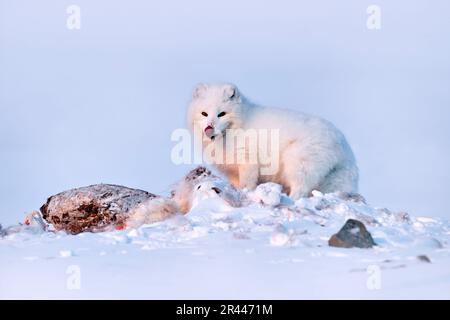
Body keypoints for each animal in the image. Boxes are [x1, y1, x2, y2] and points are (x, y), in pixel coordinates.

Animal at [186, 83, 358, 198]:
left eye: (222, 114)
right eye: (204, 113)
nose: (209, 127)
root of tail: (344, 147)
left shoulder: (248, 161)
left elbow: (247, 183)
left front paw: (245, 192)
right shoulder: (232, 171)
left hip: (297, 163)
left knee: (301, 189)